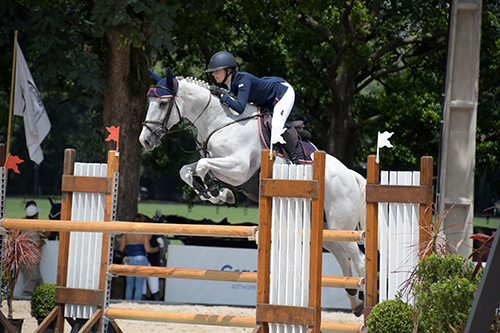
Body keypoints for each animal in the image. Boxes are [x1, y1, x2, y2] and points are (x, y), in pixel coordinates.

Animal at [139, 68, 366, 316]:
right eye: (150, 101)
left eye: (162, 103)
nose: (145, 141)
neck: (220, 121)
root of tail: (349, 174)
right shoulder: (221, 165)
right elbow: (188, 170)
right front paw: (214, 193)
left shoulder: (239, 169)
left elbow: (201, 166)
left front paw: (217, 191)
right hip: (324, 229)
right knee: (343, 258)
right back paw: (355, 302)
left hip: (340, 225)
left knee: (359, 260)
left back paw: (367, 304)